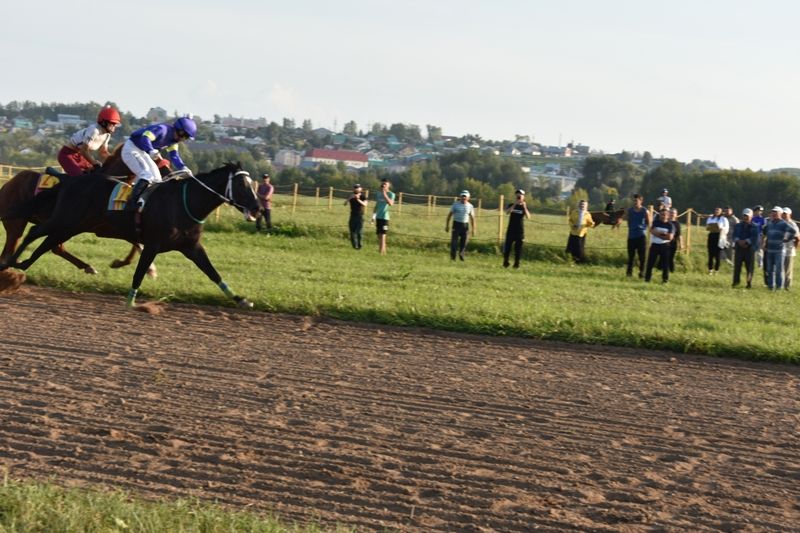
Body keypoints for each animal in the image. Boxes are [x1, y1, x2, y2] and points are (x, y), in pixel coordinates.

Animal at [0, 147, 169, 278]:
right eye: (158, 163)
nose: (166, 178)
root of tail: (8, 183)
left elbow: (137, 241)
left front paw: (141, 267)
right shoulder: (106, 228)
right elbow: (137, 241)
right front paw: (149, 268)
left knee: (55, 247)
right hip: (19, 224)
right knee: (13, 248)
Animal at [0, 162, 260, 308]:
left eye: (252, 184)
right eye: (242, 185)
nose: (257, 208)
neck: (183, 203)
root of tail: (69, 181)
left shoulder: (192, 247)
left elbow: (213, 273)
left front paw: (241, 299)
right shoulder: (153, 244)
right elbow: (139, 272)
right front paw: (133, 303)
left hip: (72, 225)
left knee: (47, 245)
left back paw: (20, 266)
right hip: (62, 219)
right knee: (33, 233)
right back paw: (11, 264)